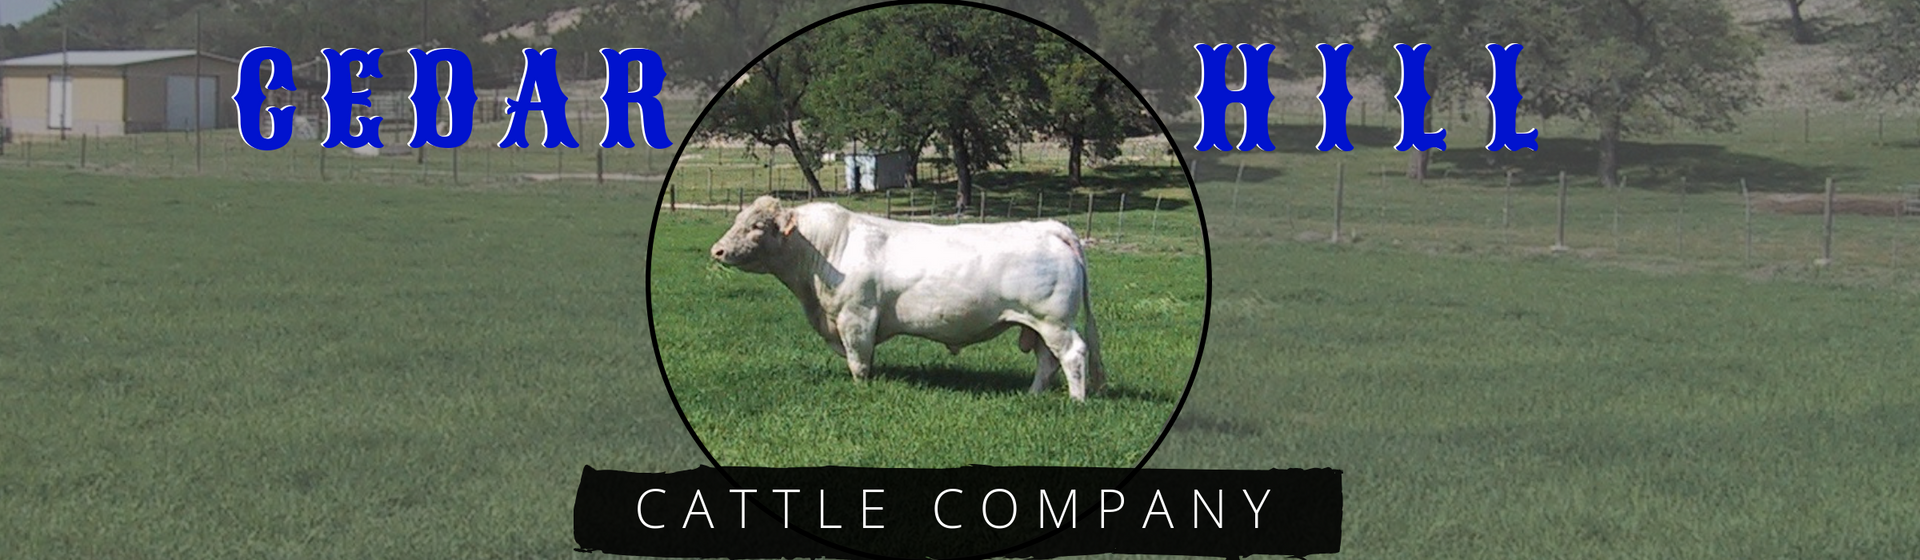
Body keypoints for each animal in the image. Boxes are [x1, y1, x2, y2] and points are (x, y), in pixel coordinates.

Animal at [709, 196, 1108, 401]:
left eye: (757, 226)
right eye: (738, 218)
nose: (717, 250)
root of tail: (1049, 227)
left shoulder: (856, 317)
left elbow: (859, 360)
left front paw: (862, 389)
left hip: (1054, 321)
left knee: (1073, 354)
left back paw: (1076, 400)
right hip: (1038, 325)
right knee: (1047, 360)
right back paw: (1033, 395)